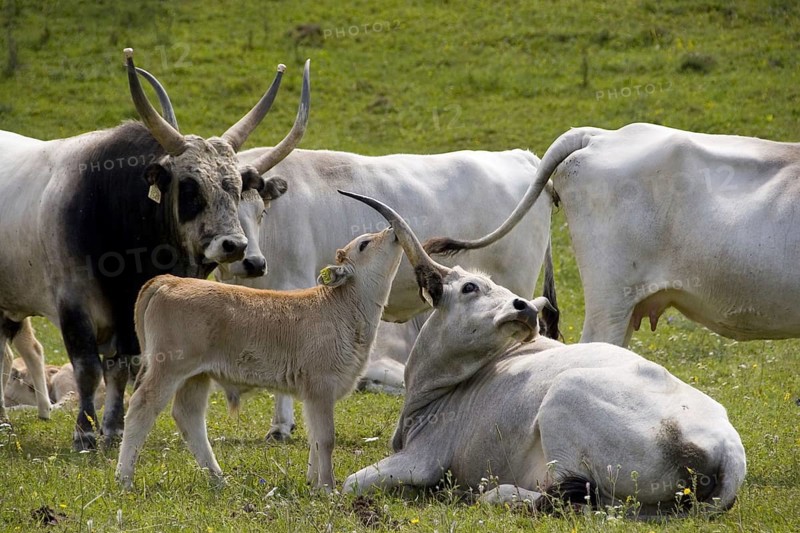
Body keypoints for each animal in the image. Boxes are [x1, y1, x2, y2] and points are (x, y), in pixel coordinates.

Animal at [0, 48, 310, 450]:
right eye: (190, 188)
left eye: (237, 187)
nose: (235, 245)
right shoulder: (72, 302)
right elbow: (88, 369)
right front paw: (85, 432)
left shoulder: (129, 314)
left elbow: (122, 367)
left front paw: (113, 429)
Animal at [115, 190, 427, 491]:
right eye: (364, 244)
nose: (392, 230)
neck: (344, 307)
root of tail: (171, 280)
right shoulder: (321, 386)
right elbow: (326, 438)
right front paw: (328, 488)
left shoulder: (312, 393)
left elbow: (315, 438)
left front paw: (314, 483)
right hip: (168, 368)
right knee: (141, 408)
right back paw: (125, 479)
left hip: (197, 375)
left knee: (188, 416)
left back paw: (218, 478)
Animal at [341, 195, 747, 517]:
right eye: (471, 287)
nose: (523, 307)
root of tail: (726, 450)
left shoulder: (424, 457)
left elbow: (350, 483)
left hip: (565, 399)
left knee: (569, 498)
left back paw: (497, 494)